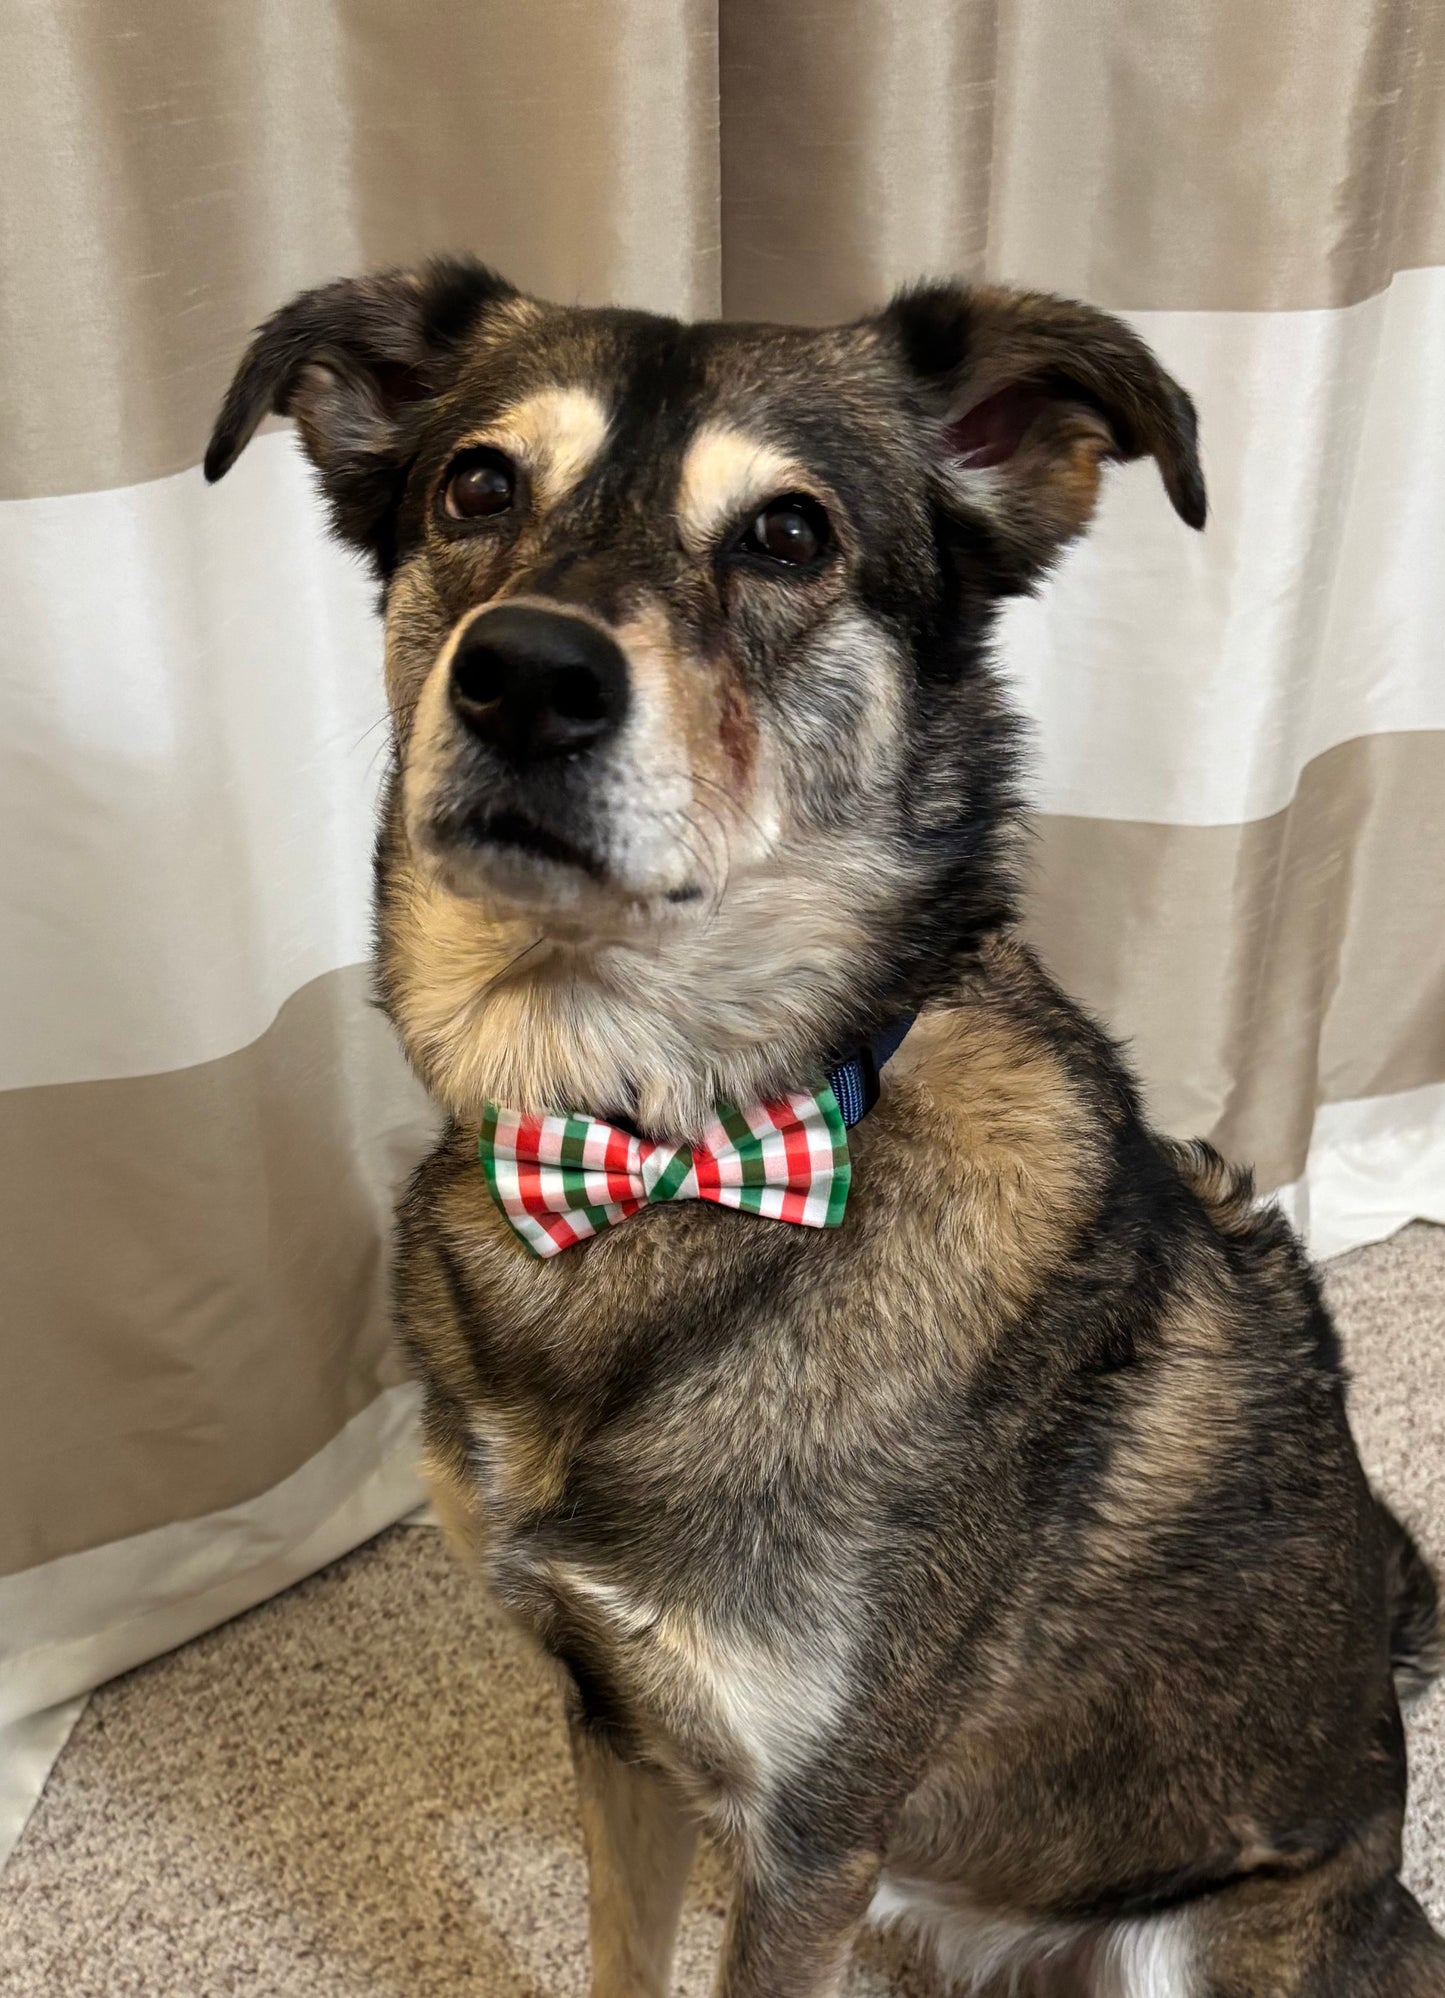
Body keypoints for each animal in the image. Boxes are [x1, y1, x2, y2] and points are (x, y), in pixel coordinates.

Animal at [205, 265, 1445, 1998]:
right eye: (477, 486)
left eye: (788, 534)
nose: (525, 675)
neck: (666, 1150)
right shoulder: (616, 1718)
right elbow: (621, 1956)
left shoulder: (813, 1837)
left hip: (1182, 1937)